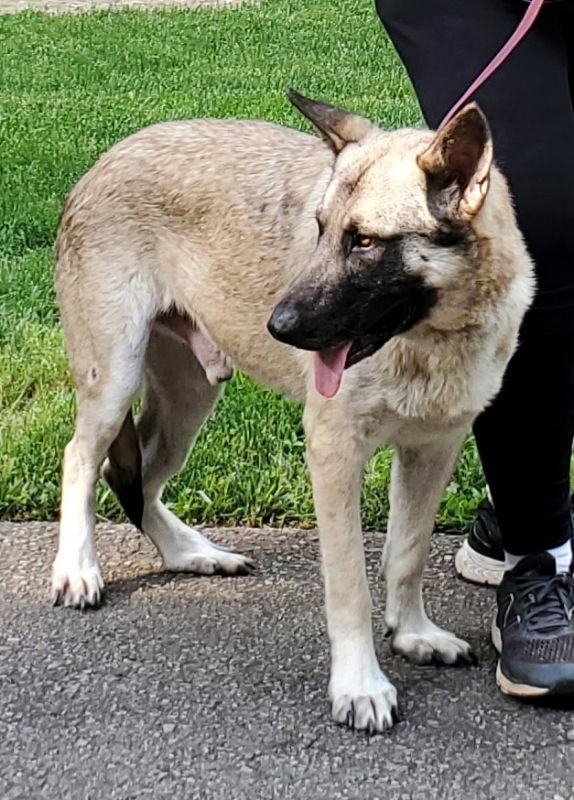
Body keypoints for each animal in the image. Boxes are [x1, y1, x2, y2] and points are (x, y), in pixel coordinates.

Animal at [53, 92, 536, 732]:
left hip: (189, 402)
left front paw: (412, 634)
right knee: (82, 459)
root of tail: (108, 157)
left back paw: (189, 554)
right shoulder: (334, 455)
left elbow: (406, 556)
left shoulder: (432, 450)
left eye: (364, 242)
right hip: (114, 384)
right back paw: (77, 568)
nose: (278, 327)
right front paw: (360, 684)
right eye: (320, 229)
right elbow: (351, 586)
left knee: (135, 480)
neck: (430, 336)